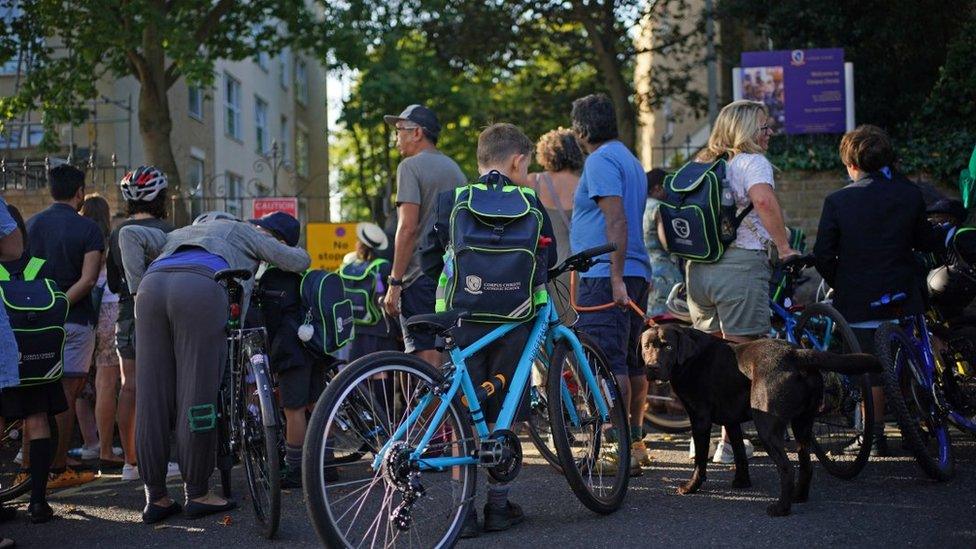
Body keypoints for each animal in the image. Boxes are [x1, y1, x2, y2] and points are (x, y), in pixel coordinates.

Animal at [644, 324, 880, 516]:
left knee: (787, 468)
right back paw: (798, 497)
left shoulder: (700, 419)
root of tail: (796, 353)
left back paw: (781, 508)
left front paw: (691, 487)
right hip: (802, 425)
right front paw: (742, 482)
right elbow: (739, 454)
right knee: (806, 465)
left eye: (667, 346)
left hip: (766, 425)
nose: (652, 367)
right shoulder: (731, 421)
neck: (690, 357)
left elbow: (700, 461)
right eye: (646, 346)